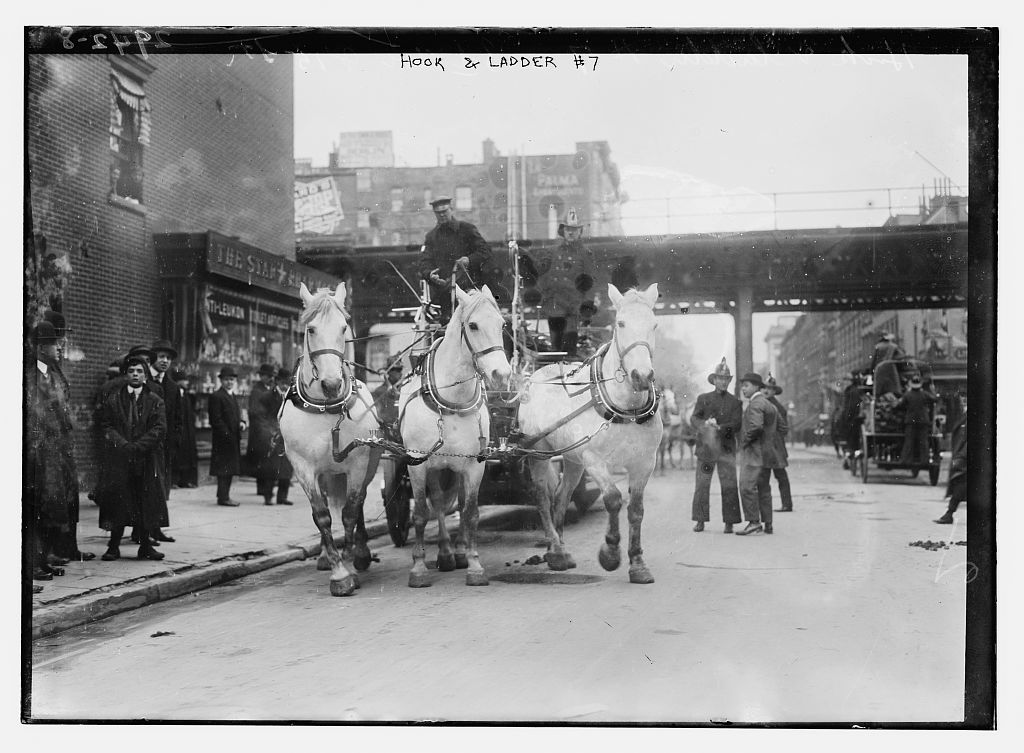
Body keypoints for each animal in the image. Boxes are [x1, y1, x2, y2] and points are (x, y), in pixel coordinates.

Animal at [280, 280, 385, 594]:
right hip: (325, 473)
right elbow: (322, 515)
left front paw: (349, 562)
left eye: (343, 327)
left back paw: (361, 552)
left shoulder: (359, 463)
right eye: (310, 329)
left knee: (360, 501)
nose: (331, 384)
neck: (326, 408)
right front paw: (338, 570)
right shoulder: (302, 467)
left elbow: (350, 511)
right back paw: (327, 557)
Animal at [399, 284, 512, 586]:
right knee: (438, 503)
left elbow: (470, 512)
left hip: (455, 466)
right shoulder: (417, 463)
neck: (451, 401)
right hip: (436, 466)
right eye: (472, 325)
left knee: (458, 503)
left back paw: (458, 552)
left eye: (502, 324)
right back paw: (446, 553)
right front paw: (418, 568)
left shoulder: (475, 464)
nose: (502, 375)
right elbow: (420, 513)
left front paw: (474, 565)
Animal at [520, 282, 663, 581]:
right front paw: (610, 553)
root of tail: (537, 374)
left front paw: (637, 563)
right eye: (621, 323)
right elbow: (613, 499)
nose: (642, 376)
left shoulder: (645, 463)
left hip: (572, 459)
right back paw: (555, 548)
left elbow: (636, 510)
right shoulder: (595, 460)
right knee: (543, 498)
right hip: (538, 453)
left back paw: (560, 551)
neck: (626, 410)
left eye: (654, 324)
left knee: (562, 496)